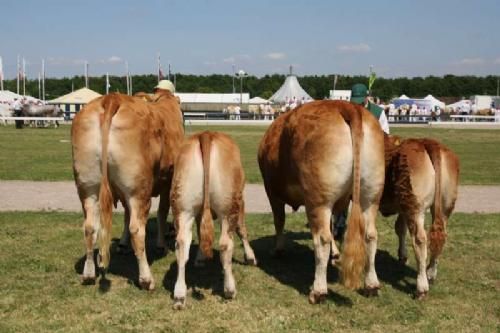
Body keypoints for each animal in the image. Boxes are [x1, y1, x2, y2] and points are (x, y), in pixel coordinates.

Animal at [72, 88, 184, 288]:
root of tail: (112, 99)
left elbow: (125, 215)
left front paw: (122, 245)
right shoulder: (168, 180)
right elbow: (162, 212)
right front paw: (161, 245)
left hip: (88, 188)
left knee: (90, 227)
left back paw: (89, 274)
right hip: (139, 191)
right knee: (137, 230)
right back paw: (146, 279)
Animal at [172, 130, 258, 308]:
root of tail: (206, 134)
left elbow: (200, 232)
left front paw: (199, 258)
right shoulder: (241, 203)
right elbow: (242, 230)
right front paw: (250, 257)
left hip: (183, 208)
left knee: (181, 245)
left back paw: (179, 295)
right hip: (230, 207)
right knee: (225, 244)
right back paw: (230, 289)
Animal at [256, 100, 384, 302]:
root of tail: (347, 106)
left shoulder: (271, 191)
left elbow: (279, 220)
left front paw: (278, 250)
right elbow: (332, 227)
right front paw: (335, 253)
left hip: (318, 200)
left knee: (321, 239)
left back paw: (318, 290)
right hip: (370, 196)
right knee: (370, 235)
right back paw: (371, 285)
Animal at [380, 136, 458, 296]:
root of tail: (426, 142)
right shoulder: (402, 208)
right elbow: (400, 228)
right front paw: (402, 255)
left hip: (415, 207)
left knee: (420, 240)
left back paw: (421, 285)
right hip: (443, 206)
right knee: (440, 236)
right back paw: (431, 273)